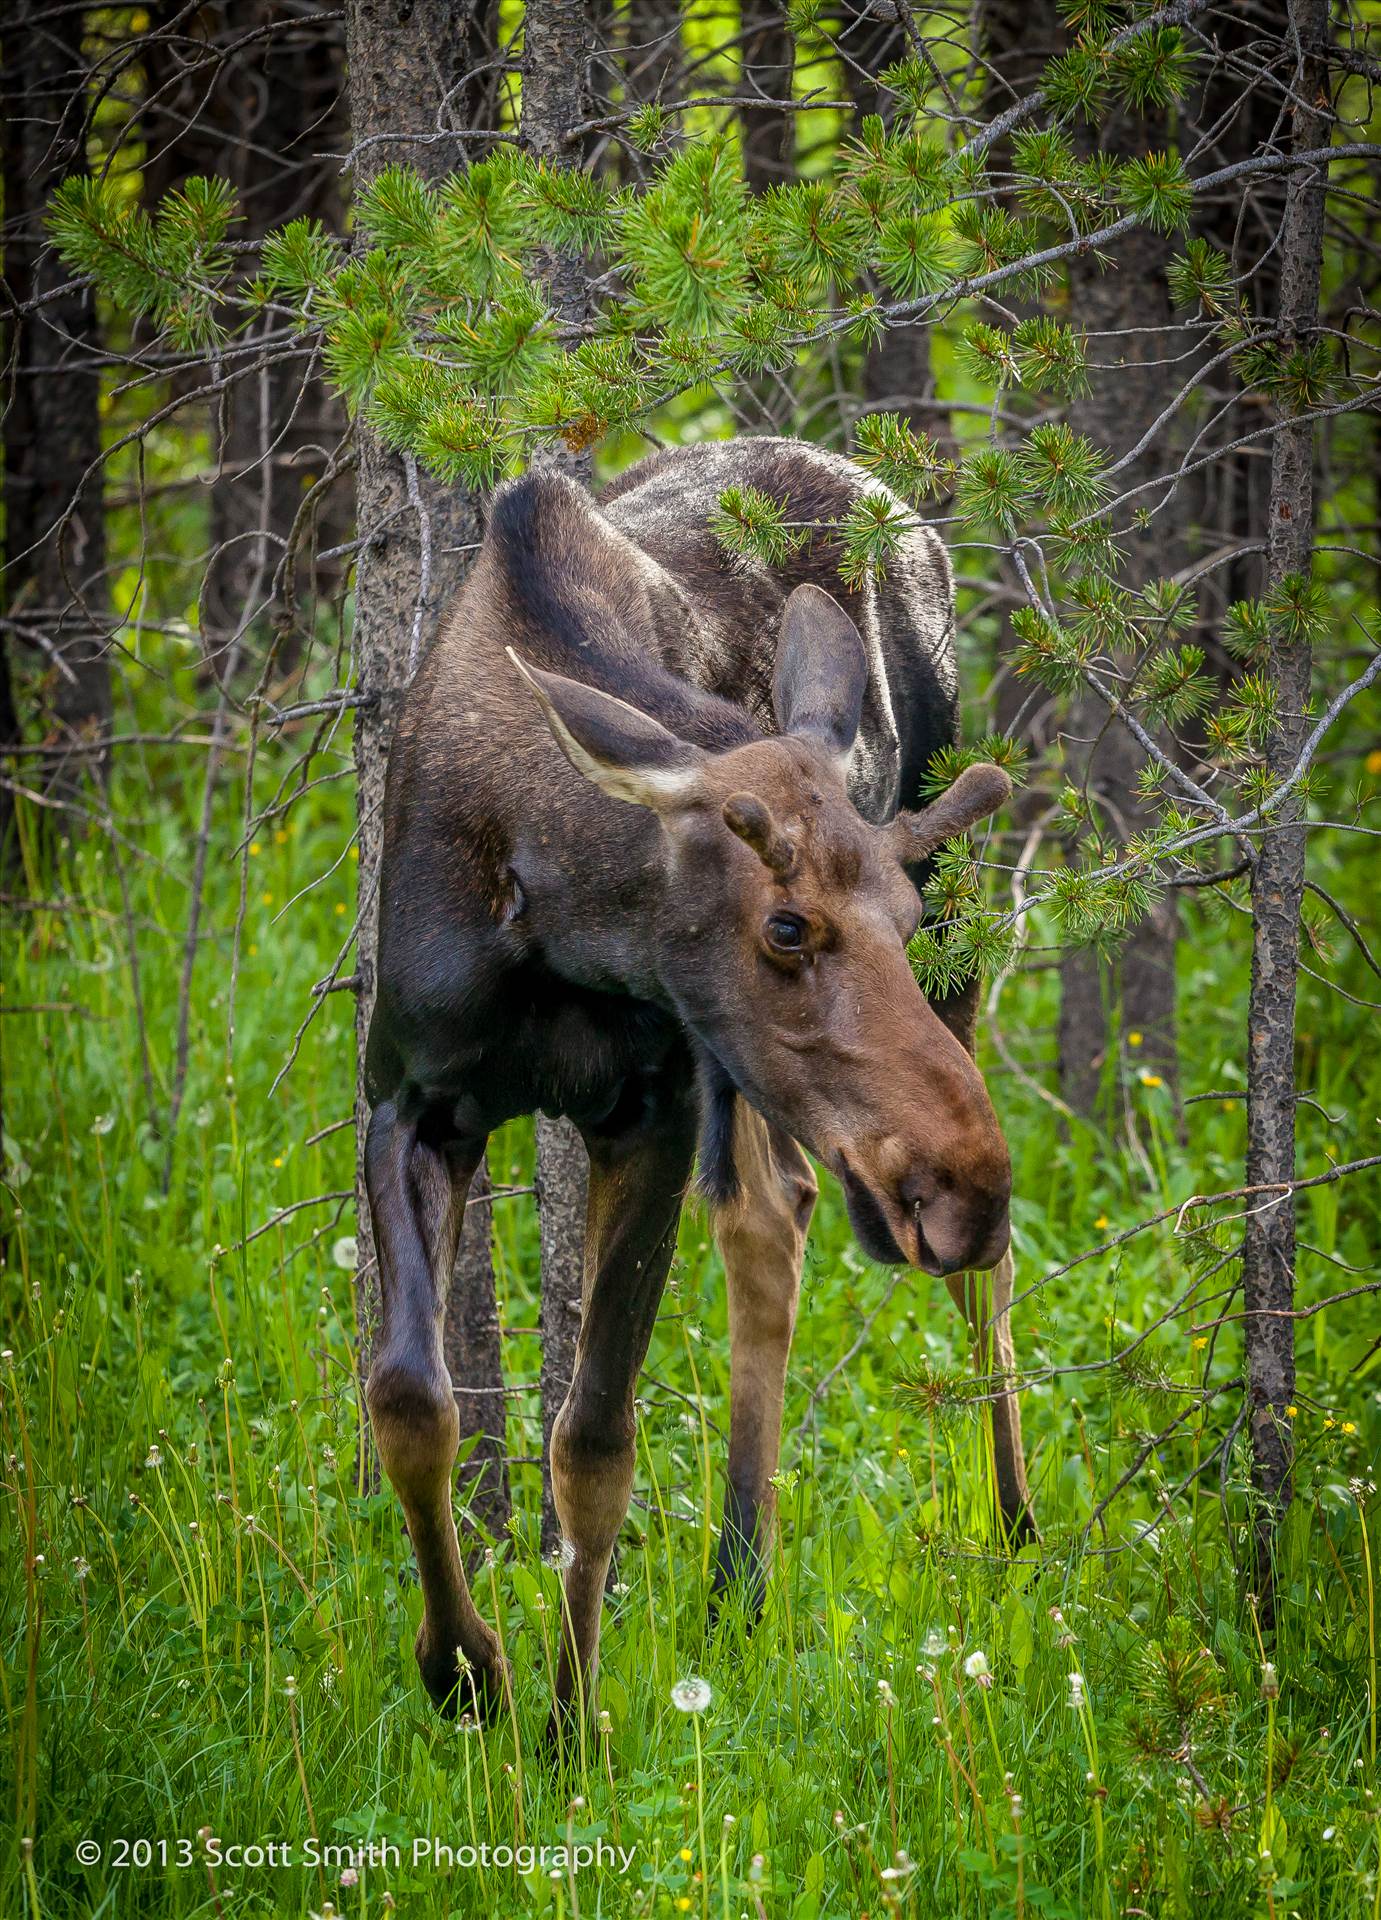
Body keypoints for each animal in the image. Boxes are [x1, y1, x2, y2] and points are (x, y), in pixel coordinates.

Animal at [361, 439, 1029, 1728]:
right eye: (785, 925)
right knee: (777, 1216)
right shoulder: (407, 1098)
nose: (963, 1186)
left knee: (968, 1278)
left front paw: (570, 1721)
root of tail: (903, 510)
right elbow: (413, 1397)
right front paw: (463, 1668)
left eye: (892, 909)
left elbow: (592, 1441)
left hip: (940, 970)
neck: (550, 909)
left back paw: (1015, 1529)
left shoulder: (652, 1108)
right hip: (752, 1086)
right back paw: (736, 1584)